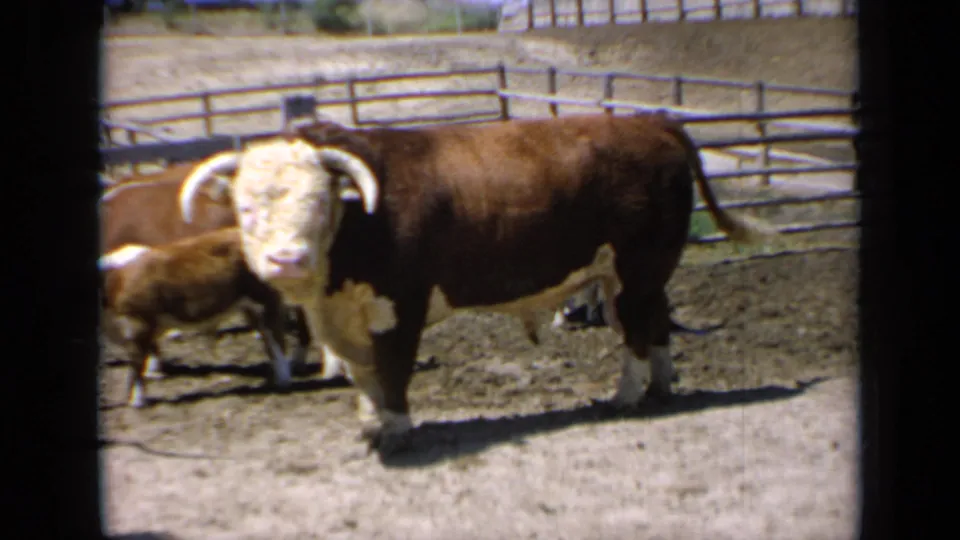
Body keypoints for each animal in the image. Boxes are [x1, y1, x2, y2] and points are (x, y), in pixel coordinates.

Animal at [100, 228, 296, 408]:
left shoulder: (139, 323)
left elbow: (136, 363)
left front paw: (137, 401)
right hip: (250, 306)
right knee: (268, 337)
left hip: (266, 298)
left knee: (277, 338)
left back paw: (283, 381)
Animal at [178, 112, 775, 456]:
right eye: (245, 207)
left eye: (318, 201)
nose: (286, 259)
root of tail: (649, 120)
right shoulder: (343, 317)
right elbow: (362, 374)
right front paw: (370, 427)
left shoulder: (401, 305)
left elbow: (391, 369)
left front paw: (396, 429)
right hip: (634, 269)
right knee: (654, 319)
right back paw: (661, 385)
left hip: (637, 265)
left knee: (633, 330)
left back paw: (627, 395)